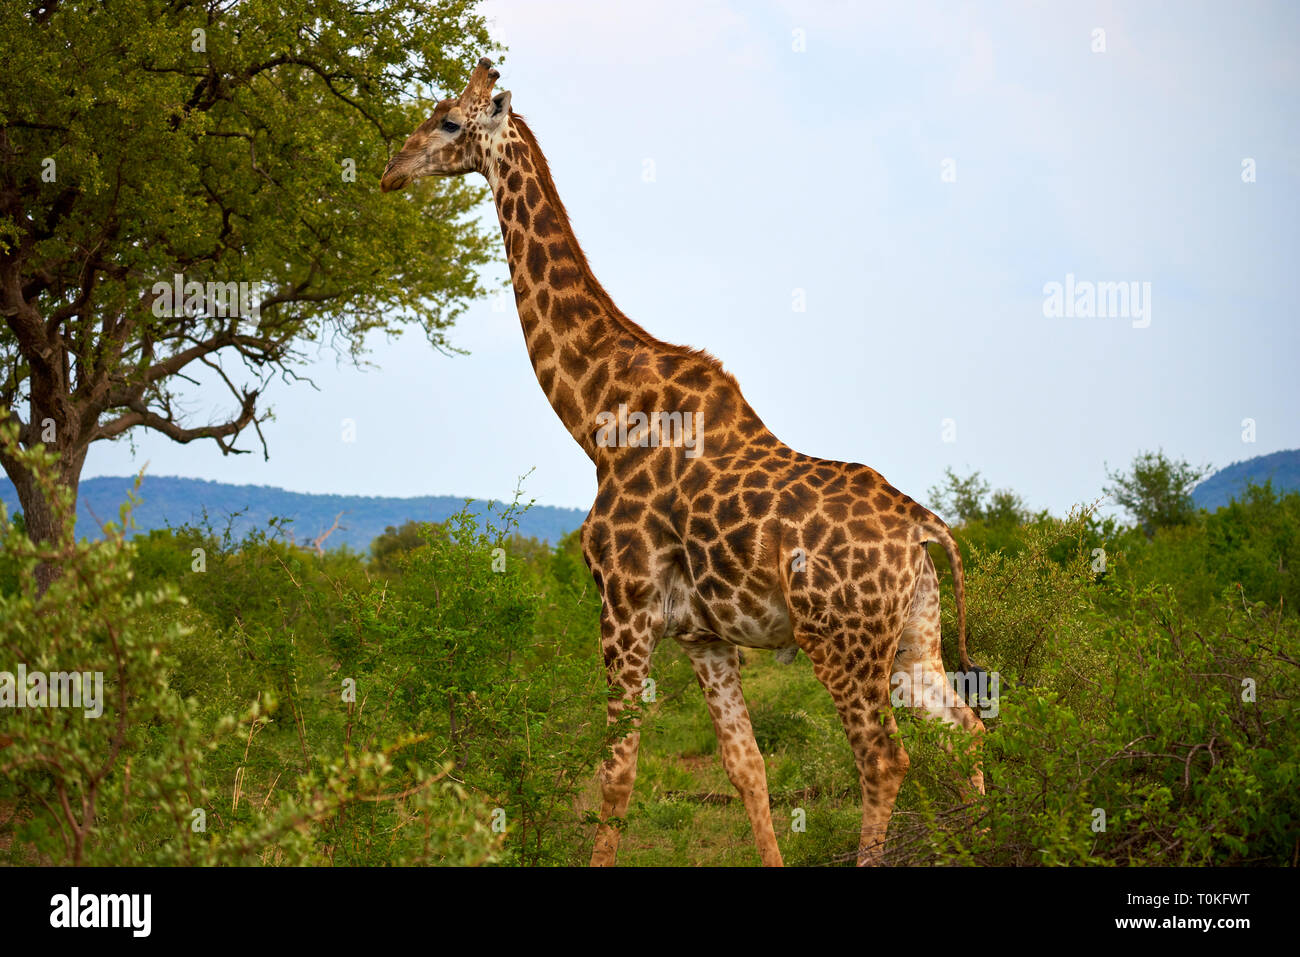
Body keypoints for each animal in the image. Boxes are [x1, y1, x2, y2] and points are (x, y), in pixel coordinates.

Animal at [382, 59, 982, 868]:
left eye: (449, 120)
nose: (392, 170)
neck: (598, 418)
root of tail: (924, 527)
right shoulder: (703, 634)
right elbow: (746, 767)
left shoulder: (624, 605)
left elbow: (616, 773)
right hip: (915, 635)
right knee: (967, 730)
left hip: (841, 642)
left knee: (885, 759)